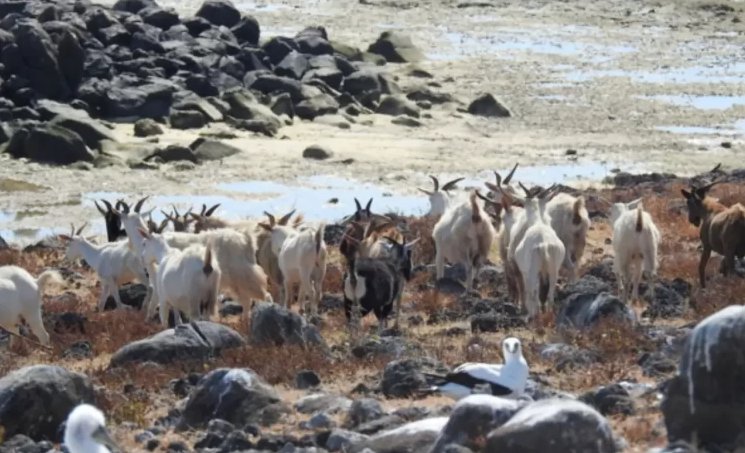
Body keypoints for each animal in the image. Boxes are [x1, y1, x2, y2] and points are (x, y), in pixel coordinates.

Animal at [511, 185, 566, 319]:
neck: (538, 223)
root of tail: (543, 244)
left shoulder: (525, 273)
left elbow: (528, 292)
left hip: (533, 272)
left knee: (533, 294)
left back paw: (533, 316)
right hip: (553, 271)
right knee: (550, 295)